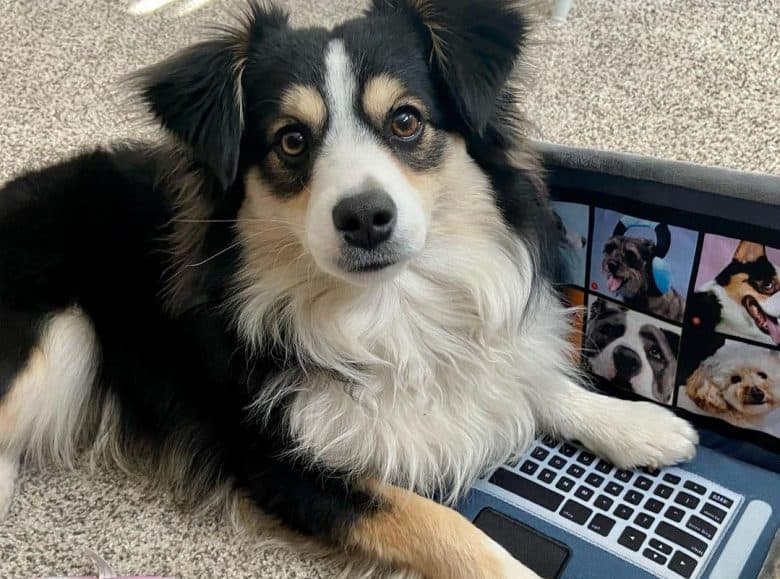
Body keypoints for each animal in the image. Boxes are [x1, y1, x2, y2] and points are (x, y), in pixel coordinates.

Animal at [0, 2, 696, 576]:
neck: (390, 308)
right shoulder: (277, 462)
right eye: (291, 139)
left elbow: (531, 378)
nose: (364, 217)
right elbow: (443, 526)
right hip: (62, 339)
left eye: (406, 120)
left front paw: (640, 425)